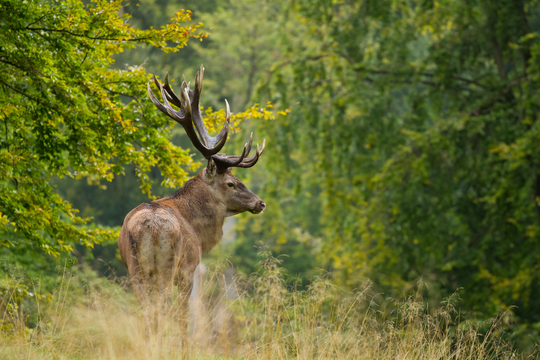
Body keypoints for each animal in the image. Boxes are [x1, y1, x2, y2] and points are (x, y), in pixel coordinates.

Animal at [117, 64, 266, 352]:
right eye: (231, 183)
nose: (260, 202)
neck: (197, 228)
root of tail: (150, 229)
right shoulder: (189, 269)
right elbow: (184, 316)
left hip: (135, 269)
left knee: (146, 310)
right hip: (166, 266)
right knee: (162, 308)